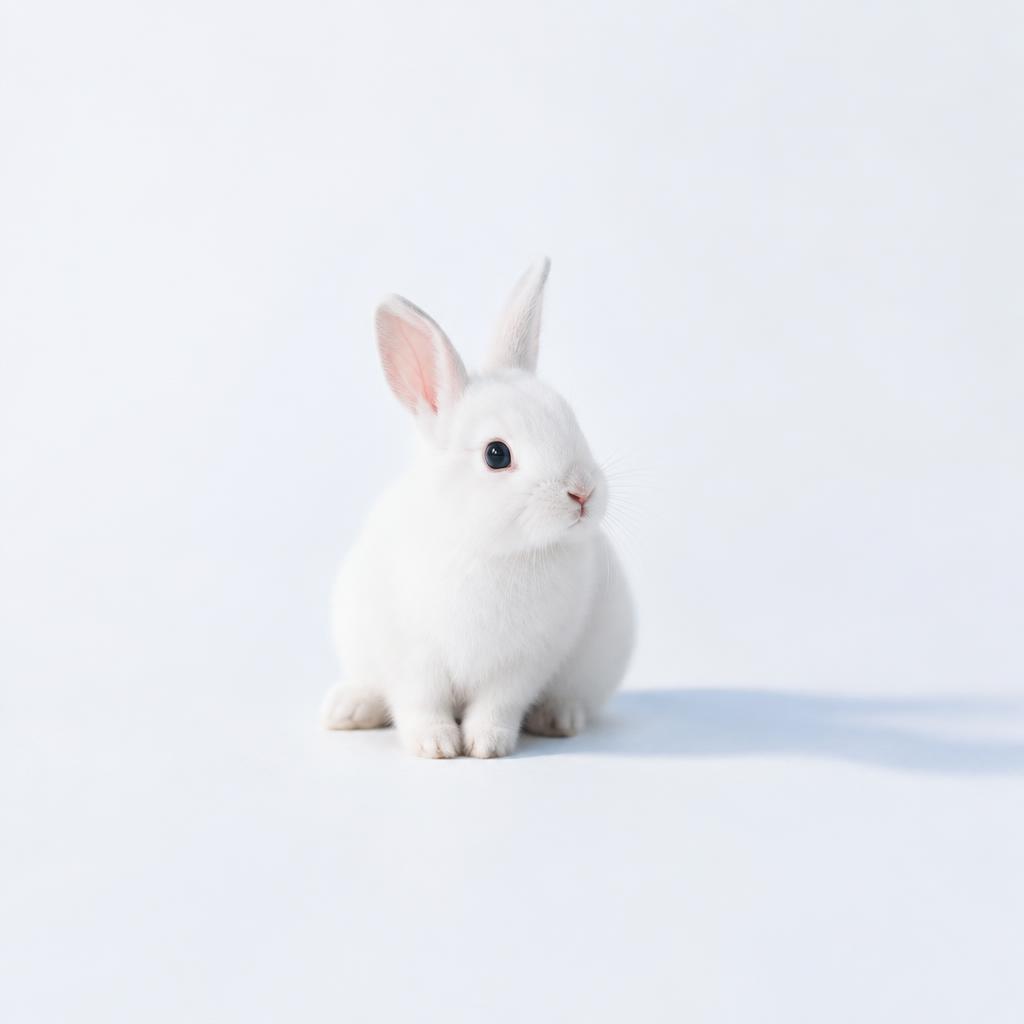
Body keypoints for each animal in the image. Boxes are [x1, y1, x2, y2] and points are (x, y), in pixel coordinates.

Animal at [321, 259, 634, 757]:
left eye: (572, 422)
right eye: (496, 454)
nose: (582, 493)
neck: (490, 549)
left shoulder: (521, 666)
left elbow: (497, 705)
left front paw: (487, 745)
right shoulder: (413, 660)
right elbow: (419, 703)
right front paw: (436, 746)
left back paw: (559, 718)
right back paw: (346, 710)